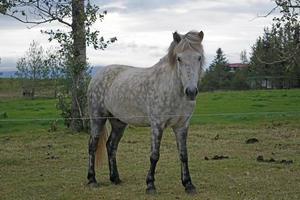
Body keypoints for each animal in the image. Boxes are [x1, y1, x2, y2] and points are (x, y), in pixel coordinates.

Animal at [85, 30, 205, 195]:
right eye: (179, 58)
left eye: (199, 57)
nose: (191, 92)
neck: (172, 90)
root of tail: (97, 75)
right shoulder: (157, 125)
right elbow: (154, 155)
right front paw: (150, 185)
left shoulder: (182, 126)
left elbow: (184, 154)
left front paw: (188, 184)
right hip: (97, 118)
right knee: (93, 145)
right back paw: (92, 180)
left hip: (118, 122)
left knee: (111, 146)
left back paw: (115, 179)